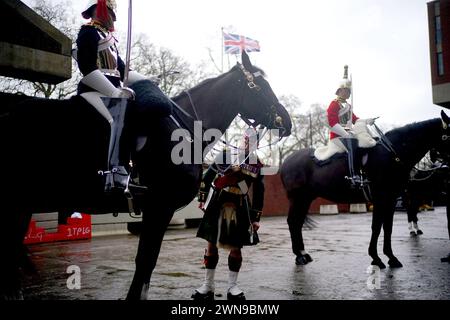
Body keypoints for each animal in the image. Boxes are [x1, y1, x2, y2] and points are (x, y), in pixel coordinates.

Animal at [0, 51, 292, 298]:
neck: (183, 130)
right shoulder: (159, 207)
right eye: (262, 87)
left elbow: (147, 264)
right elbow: (146, 261)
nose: (286, 121)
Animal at [282, 111, 450, 268]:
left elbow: (387, 227)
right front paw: (376, 257)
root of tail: (287, 160)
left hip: (305, 199)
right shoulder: (381, 198)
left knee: (298, 222)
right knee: (292, 222)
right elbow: (376, 227)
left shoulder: (391, 200)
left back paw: (303, 253)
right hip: (297, 198)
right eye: (447, 135)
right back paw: (299, 256)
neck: (392, 154)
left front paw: (391, 257)